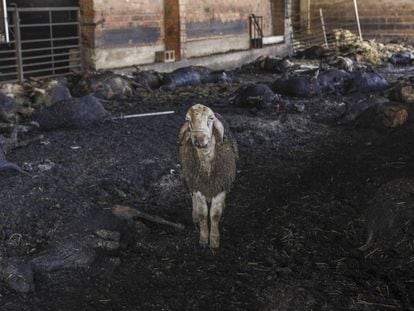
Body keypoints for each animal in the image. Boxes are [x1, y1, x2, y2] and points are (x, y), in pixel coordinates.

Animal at [177, 103, 238, 250]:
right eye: (188, 120)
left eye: (210, 118)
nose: (199, 140)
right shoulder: (198, 187)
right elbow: (203, 214)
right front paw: (204, 239)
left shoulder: (220, 187)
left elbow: (215, 215)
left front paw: (214, 240)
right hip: (190, 180)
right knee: (192, 198)